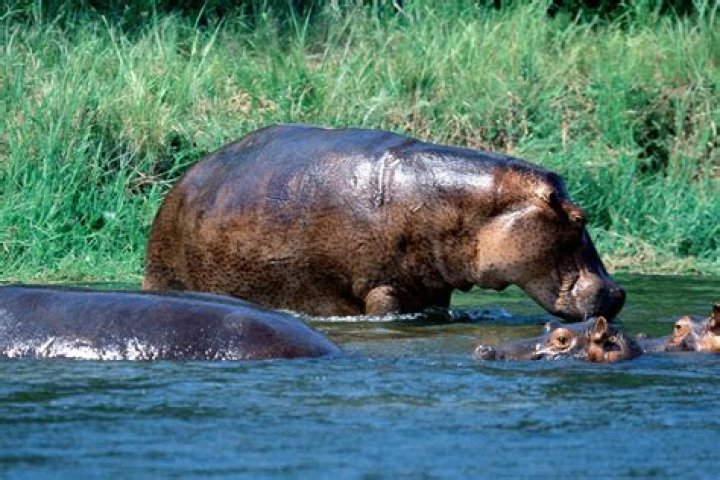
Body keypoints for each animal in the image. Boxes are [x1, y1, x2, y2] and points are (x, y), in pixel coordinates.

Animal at [143, 124, 625, 320]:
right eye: (580, 217)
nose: (619, 293)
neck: (465, 207)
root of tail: (177, 186)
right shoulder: (381, 288)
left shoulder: (434, 290)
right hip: (166, 274)